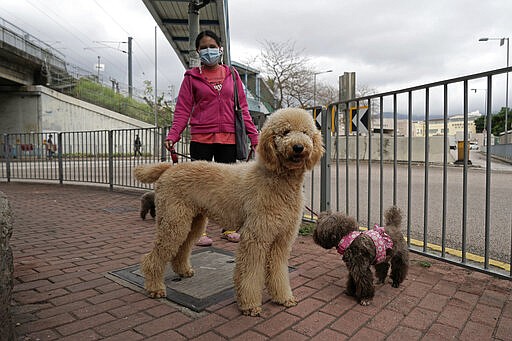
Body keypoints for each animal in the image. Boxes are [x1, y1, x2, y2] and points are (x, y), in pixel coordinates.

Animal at [132, 107, 324, 314]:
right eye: (285, 132)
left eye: (305, 133)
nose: (298, 147)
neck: (277, 178)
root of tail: (169, 168)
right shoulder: (255, 236)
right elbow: (250, 273)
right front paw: (249, 305)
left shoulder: (281, 240)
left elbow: (278, 271)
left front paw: (283, 298)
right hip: (173, 220)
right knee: (153, 258)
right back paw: (155, 287)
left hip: (192, 221)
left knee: (182, 248)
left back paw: (183, 270)